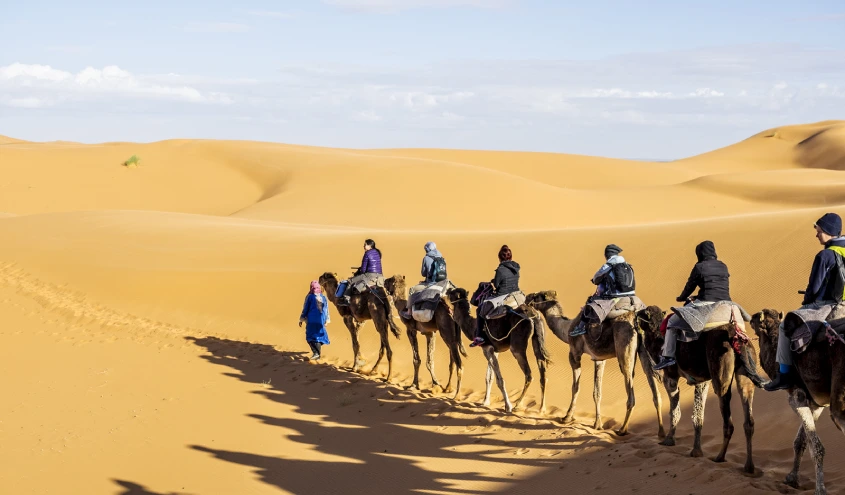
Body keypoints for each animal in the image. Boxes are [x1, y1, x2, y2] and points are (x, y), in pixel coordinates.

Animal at [446, 286, 552, 414]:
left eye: (451, 294)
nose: (447, 291)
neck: (473, 327)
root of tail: (534, 317)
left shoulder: (487, 348)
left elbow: (499, 380)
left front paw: (507, 406)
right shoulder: (493, 350)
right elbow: (489, 377)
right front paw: (485, 402)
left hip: (517, 347)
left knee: (529, 374)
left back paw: (517, 405)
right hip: (538, 339)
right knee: (543, 374)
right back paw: (542, 408)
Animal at [524, 290, 664, 438]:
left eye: (537, 296)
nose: (527, 298)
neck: (567, 328)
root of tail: (636, 321)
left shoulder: (574, 353)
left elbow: (575, 387)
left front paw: (567, 417)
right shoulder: (599, 359)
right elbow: (597, 391)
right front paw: (598, 424)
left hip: (625, 349)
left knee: (630, 390)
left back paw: (622, 430)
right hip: (644, 351)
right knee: (655, 391)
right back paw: (661, 433)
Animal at [640, 304, 760, 474]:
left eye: (641, 314)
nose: (635, 318)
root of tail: (737, 340)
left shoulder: (670, 376)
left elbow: (674, 411)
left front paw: (669, 440)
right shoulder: (701, 381)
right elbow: (698, 415)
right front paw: (696, 451)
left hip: (720, 377)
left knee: (728, 419)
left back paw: (720, 457)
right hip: (745, 375)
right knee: (748, 420)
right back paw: (748, 466)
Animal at [752, 308, 844, 494]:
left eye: (757, 318)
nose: (749, 319)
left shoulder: (796, 396)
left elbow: (816, 447)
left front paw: (820, 490)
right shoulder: (816, 402)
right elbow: (801, 441)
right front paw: (792, 478)